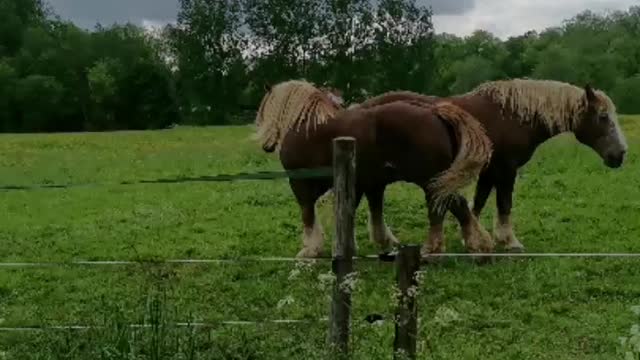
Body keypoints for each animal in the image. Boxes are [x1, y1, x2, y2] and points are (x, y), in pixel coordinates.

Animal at [255, 79, 496, 258]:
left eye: (264, 109)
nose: (266, 146)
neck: (306, 126)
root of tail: (435, 112)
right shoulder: (366, 183)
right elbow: (355, 212)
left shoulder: (300, 184)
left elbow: (308, 214)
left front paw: (310, 250)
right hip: (440, 180)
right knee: (455, 206)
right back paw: (476, 244)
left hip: (431, 180)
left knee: (443, 209)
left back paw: (438, 247)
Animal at [352, 77, 628, 255]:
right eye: (603, 117)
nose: (620, 154)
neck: (513, 116)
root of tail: (360, 108)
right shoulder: (505, 170)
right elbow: (503, 204)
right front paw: (508, 241)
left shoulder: (489, 172)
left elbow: (478, 202)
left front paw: (471, 238)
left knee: (374, 200)